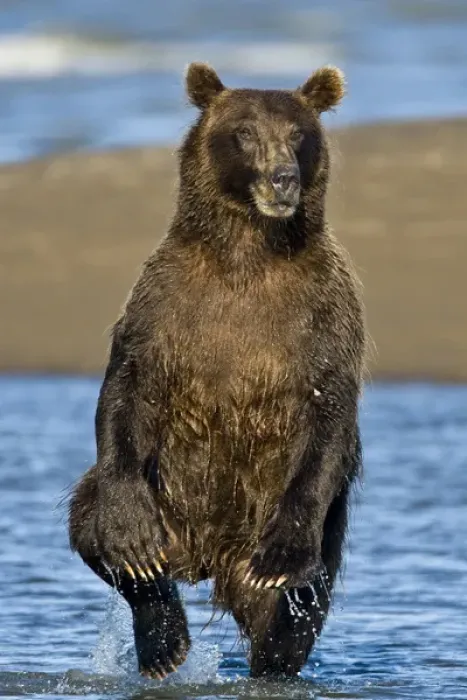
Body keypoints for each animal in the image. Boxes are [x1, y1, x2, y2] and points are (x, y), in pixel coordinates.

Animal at [68, 62, 366, 681]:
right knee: (94, 528)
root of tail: (208, 562)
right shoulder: (165, 304)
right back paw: (162, 636)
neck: (248, 254)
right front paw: (129, 538)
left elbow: (330, 408)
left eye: (299, 134)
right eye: (245, 132)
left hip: (303, 534)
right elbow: (126, 387)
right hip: (167, 496)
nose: (282, 179)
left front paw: (281, 557)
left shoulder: (325, 315)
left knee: (291, 617)